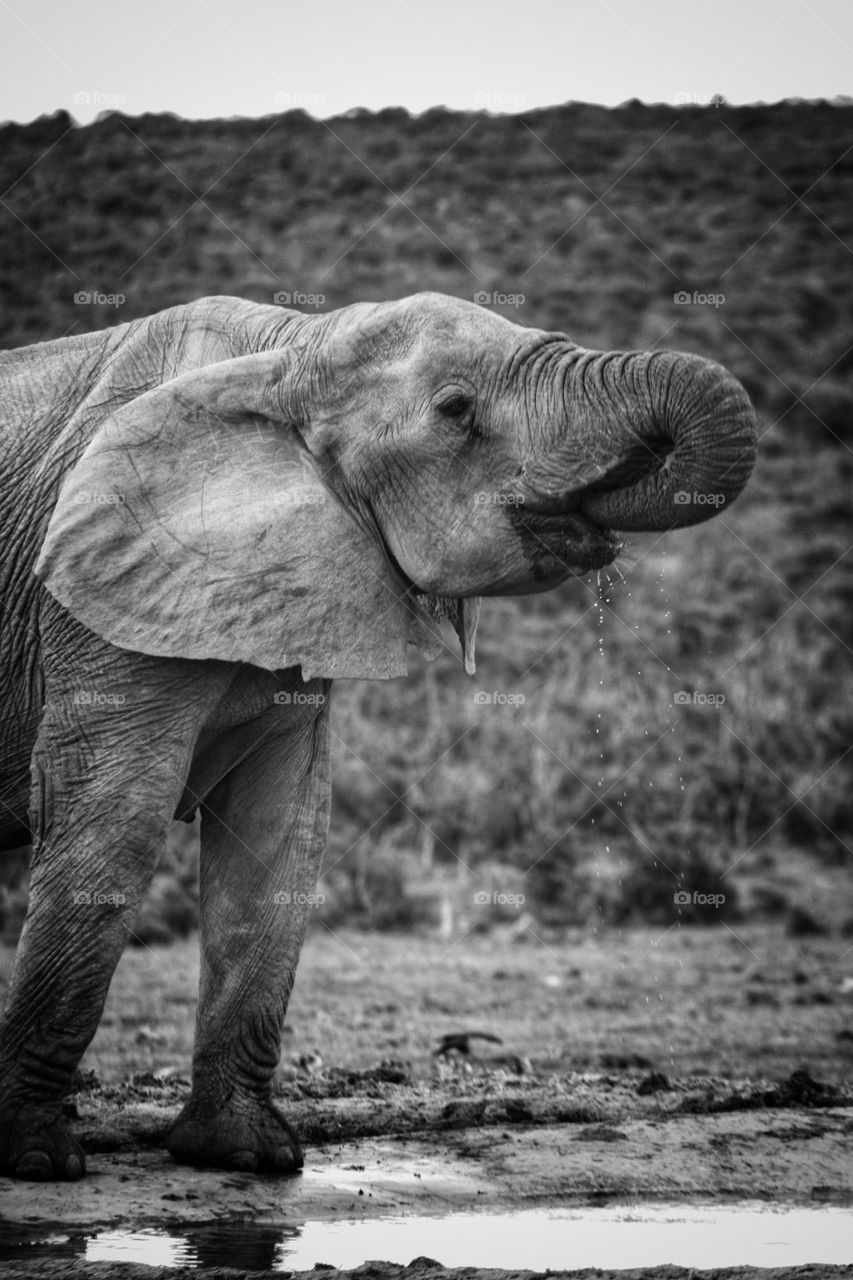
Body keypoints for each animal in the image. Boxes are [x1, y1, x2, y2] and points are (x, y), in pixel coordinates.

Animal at [0, 292, 757, 1180]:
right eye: (456, 410)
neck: (293, 348)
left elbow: (279, 836)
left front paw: (248, 1154)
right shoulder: (90, 610)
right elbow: (112, 828)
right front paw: (36, 1159)